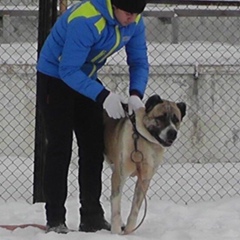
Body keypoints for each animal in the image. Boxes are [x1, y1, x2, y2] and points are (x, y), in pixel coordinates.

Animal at [103, 94, 186, 234]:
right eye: (160, 117)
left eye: (176, 119)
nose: (172, 133)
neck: (141, 140)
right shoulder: (119, 175)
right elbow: (116, 206)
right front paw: (116, 232)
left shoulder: (144, 179)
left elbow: (135, 209)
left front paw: (129, 232)